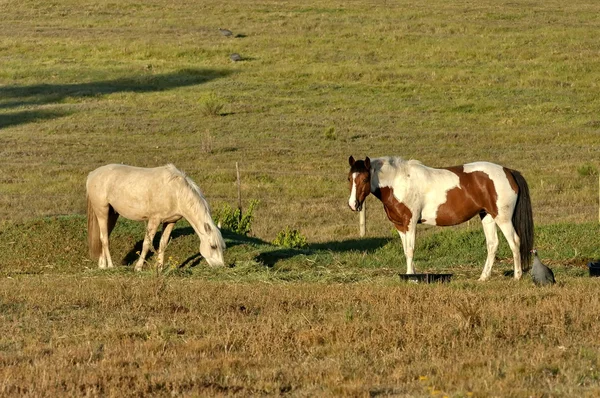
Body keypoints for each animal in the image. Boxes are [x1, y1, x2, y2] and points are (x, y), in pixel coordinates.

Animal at [85, 162, 224, 270]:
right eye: (213, 246)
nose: (220, 267)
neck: (176, 192)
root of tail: (92, 174)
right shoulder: (154, 220)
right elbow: (147, 243)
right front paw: (138, 267)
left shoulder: (170, 222)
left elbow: (163, 243)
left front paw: (160, 268)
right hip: (102, 212)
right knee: (104, 238)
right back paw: (110, 266)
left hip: (112, 214)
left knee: (104, 236)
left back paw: (102, 265)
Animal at [346, 155, 536, 280]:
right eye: (349, 178)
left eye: (365, 179)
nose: (353, 204)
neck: (399, 182)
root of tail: (508, 171)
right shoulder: (400, 226)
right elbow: (406, 250)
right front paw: (411, 274)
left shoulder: (410, 223)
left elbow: (410, 250)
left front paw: (410, 277)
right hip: (487, 216)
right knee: (492, 244)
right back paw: (483, 277)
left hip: (503, 218)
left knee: (515, 242)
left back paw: (517, 276)